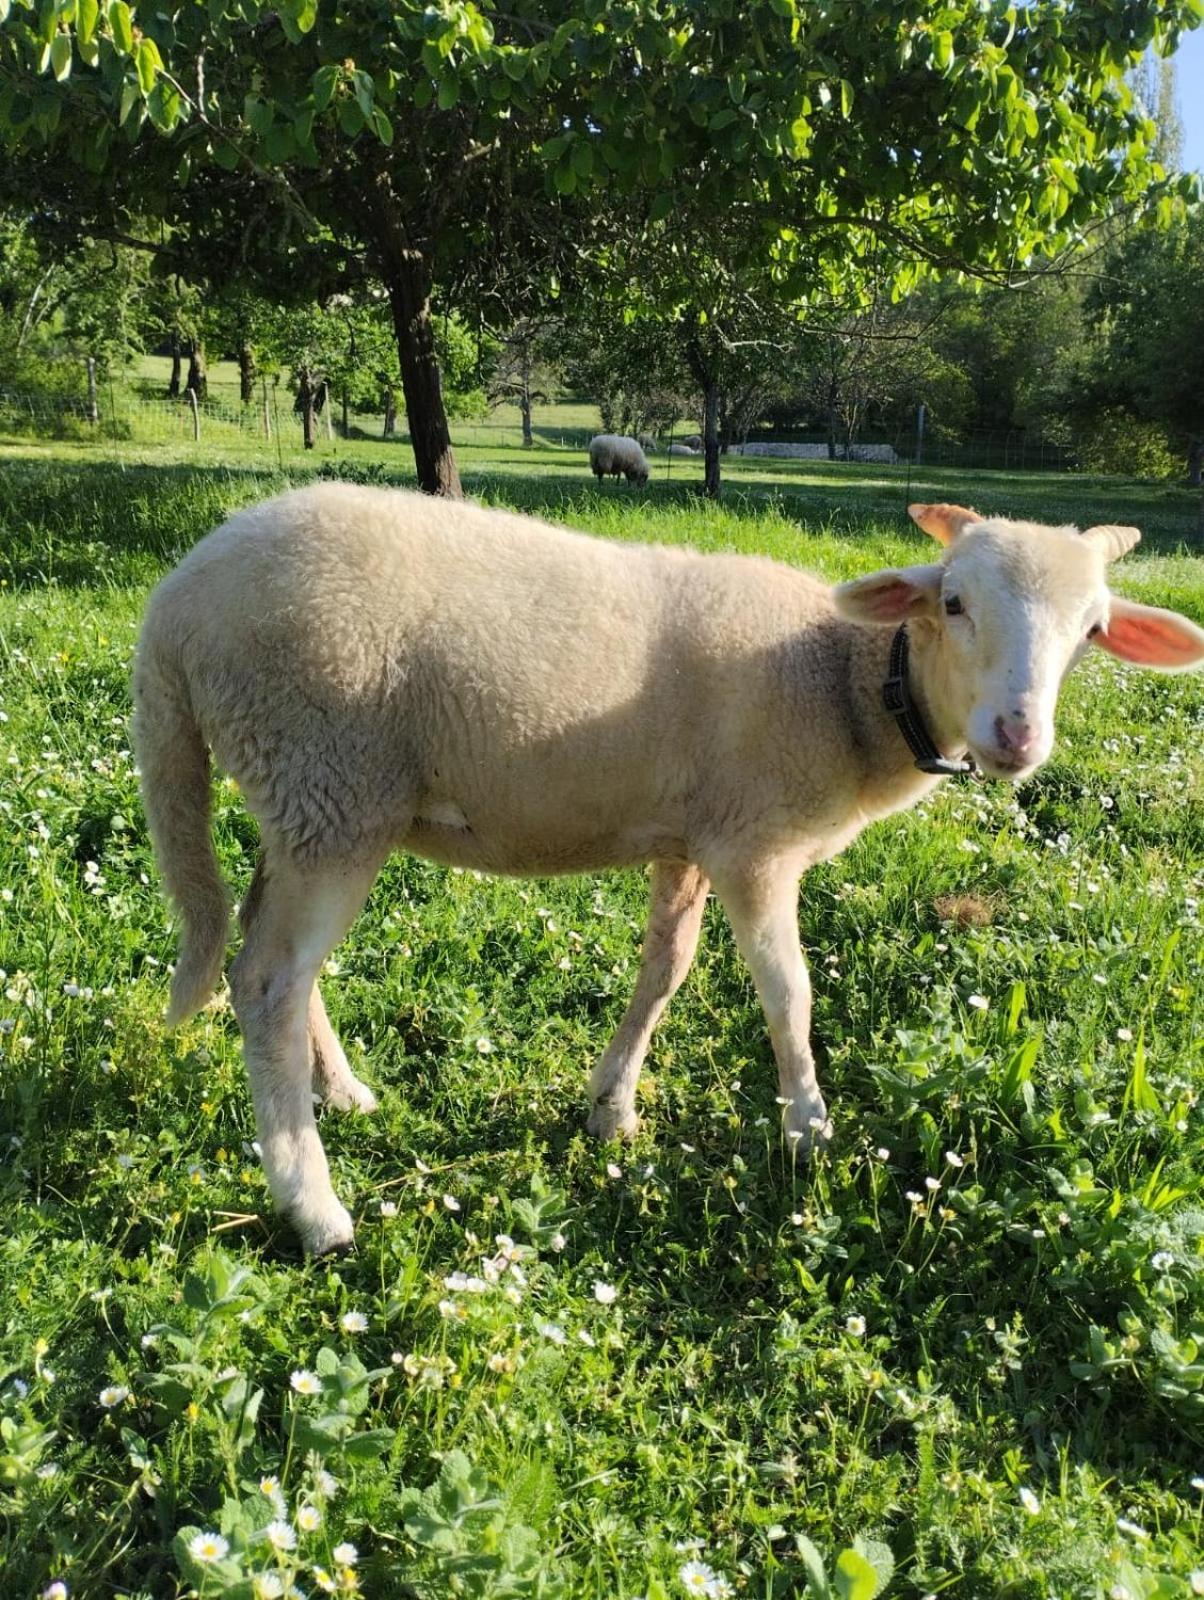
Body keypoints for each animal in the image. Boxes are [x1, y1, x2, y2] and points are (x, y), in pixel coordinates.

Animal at [131, 480, 1204, 1254]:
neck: (850, 687)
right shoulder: (756, 846)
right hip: (326, 769)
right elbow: (786, 990)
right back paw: (312, 1206)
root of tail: (175, 606)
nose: (1017, 737)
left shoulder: (693, 837)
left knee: (268, 956)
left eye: (1093, 631)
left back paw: (341, 1094)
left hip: (308, 797)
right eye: (952, 601)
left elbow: (667, 970)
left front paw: (612, 1106)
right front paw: (807, 1130)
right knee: (267, 980)